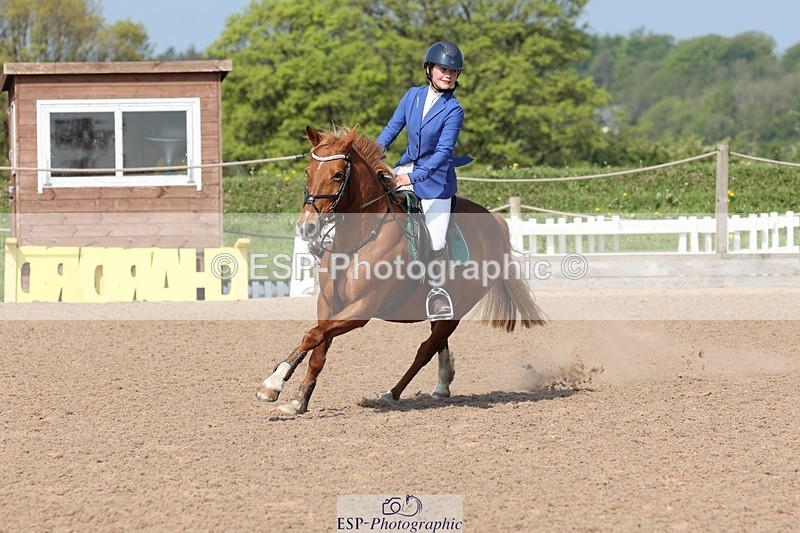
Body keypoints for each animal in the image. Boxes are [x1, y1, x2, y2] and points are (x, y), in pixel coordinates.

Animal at [256, 124, 546, 416]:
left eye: (338, 174)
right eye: (307, 171)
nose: (307, 227)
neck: (357, 242)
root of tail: (494, 220)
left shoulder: (362, 309)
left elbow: (312, 335)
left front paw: (272, 383)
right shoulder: (328, 305)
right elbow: (317, 348)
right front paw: (298, 399)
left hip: (459, 308)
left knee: (425, 349)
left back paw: (391, 393)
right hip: (441, 309)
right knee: (437, 342)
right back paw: (441, 386)